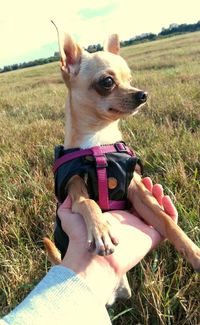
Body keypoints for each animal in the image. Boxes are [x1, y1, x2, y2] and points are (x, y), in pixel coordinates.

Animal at [45, 24, 200, 284]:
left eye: (130, 79)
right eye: (107, 82)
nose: (142, 94)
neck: (100, 141)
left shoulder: (137, 191)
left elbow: (167, 222)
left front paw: (195, 253)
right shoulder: (75, 189)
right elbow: (88, 203)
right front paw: (101, 230)